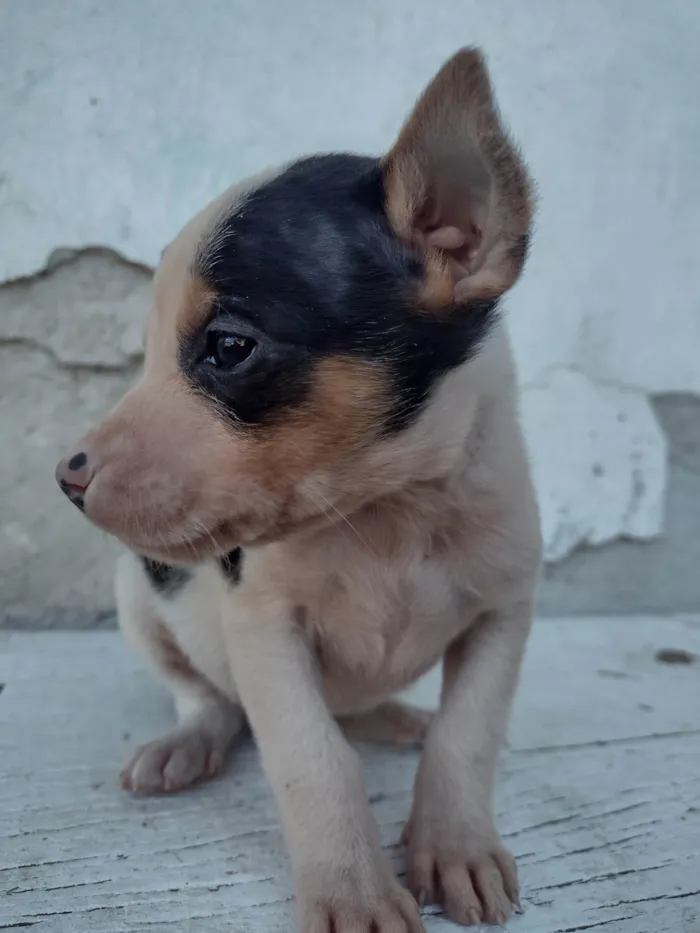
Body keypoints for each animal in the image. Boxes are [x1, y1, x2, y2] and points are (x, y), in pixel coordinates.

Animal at [56, 49, 540, 932]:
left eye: (228, 347)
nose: (66, 475)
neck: (389, 511)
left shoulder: (503, 613)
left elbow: (467, 735)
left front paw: (455, 847)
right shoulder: (265, 630)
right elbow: (313, 755)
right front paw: (353, 890)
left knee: (359, 713)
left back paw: (391, 716)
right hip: (141, 602)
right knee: (205, 698)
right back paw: (188, 744)